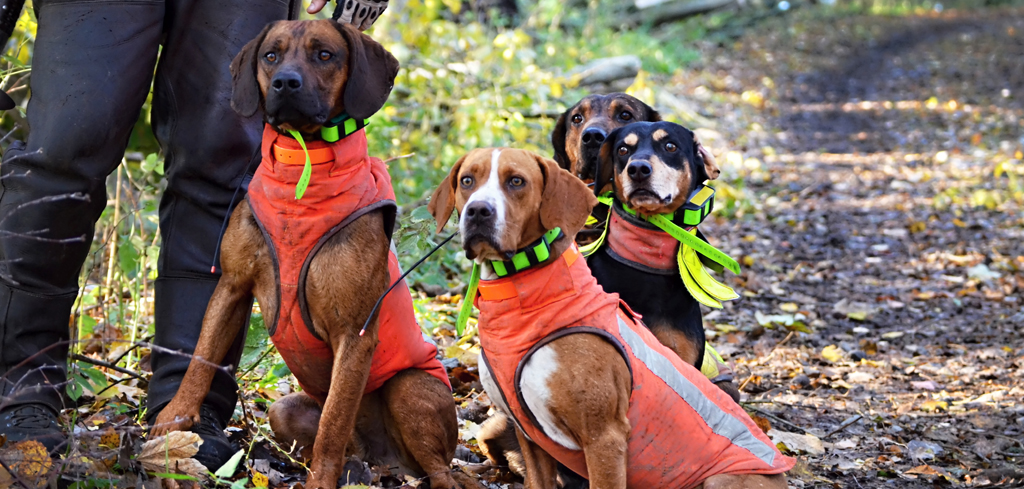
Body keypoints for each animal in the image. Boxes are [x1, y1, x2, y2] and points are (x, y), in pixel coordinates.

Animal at [150, 18, 475, 488]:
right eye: (271, 55)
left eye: (325, 55)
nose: (286, 82)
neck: (300, 165)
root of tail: (387, 462)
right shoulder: (231, 286)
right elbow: (200, 357)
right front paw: (173, 422)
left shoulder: (355, 333)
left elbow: (334, 424)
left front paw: (320, 480)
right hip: (284, 408)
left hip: (410, 390)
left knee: (437, 470)